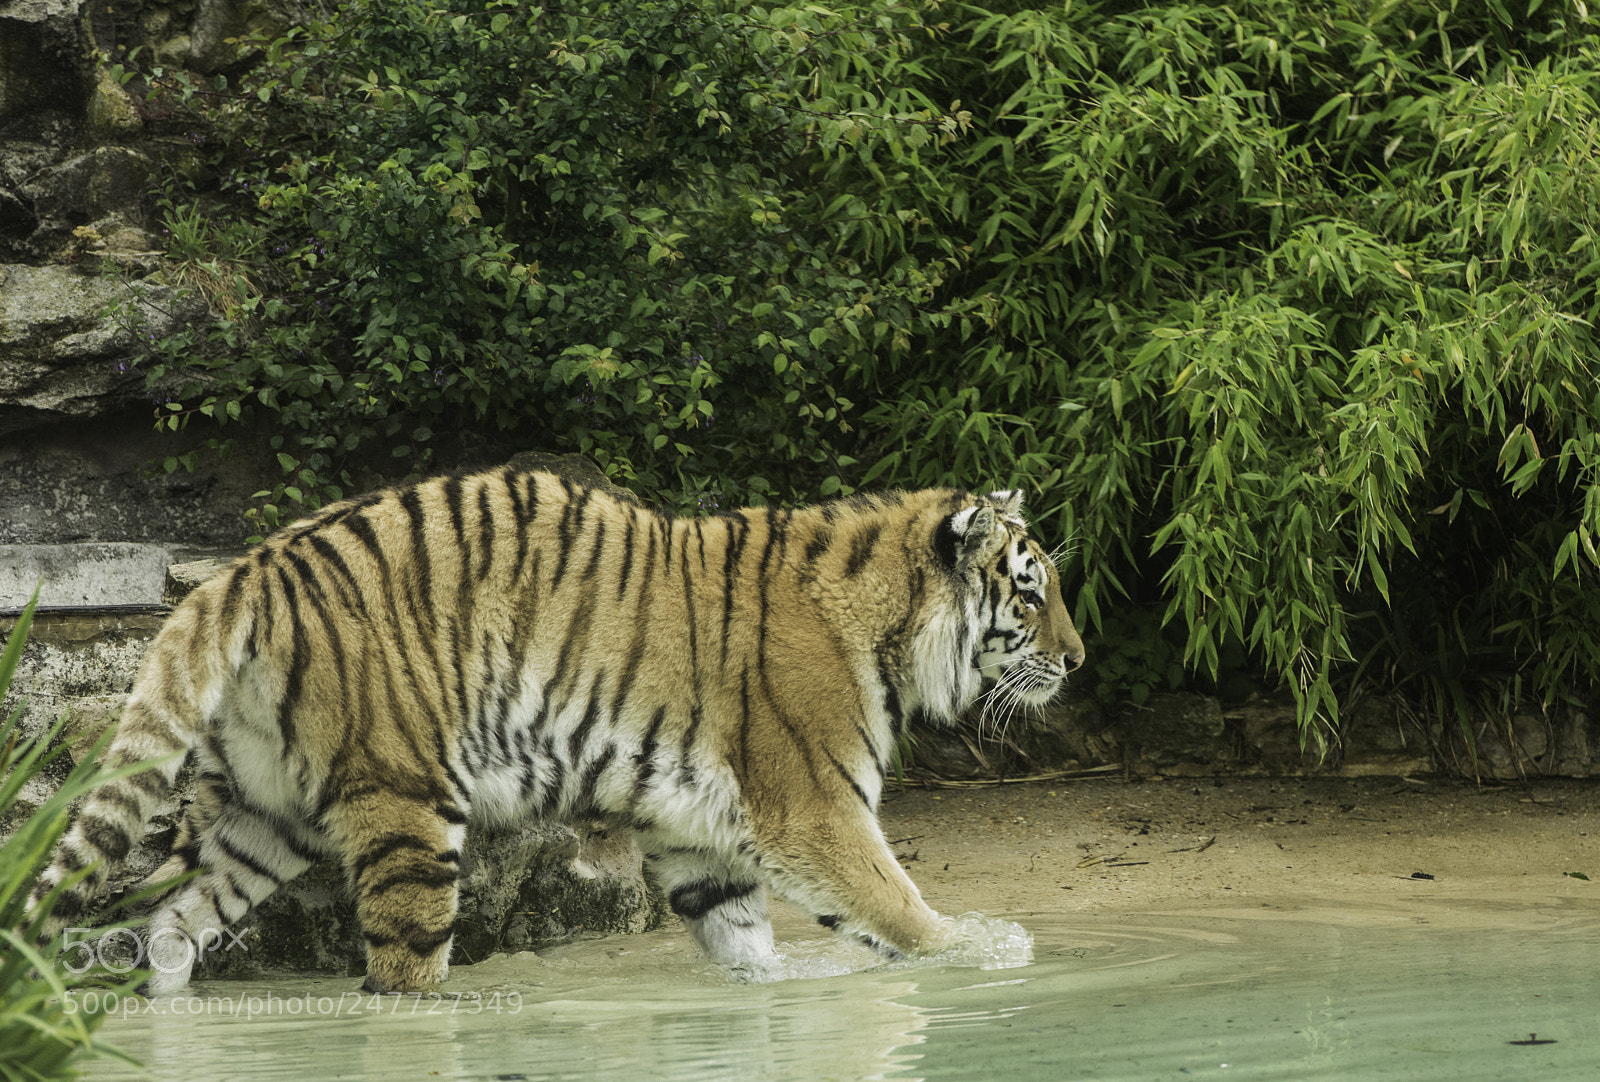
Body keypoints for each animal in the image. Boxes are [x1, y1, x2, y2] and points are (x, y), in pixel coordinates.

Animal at [31, 465, 1085, 994]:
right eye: (1030, 595)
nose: (1077, 660)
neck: (890, 624)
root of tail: (250, 568)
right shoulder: (814, 809)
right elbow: (897, 905)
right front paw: (984, 951)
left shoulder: (700, 839)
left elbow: (746, 944)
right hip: (409, 808)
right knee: (398, 979)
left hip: (268, 816)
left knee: (172, 921)